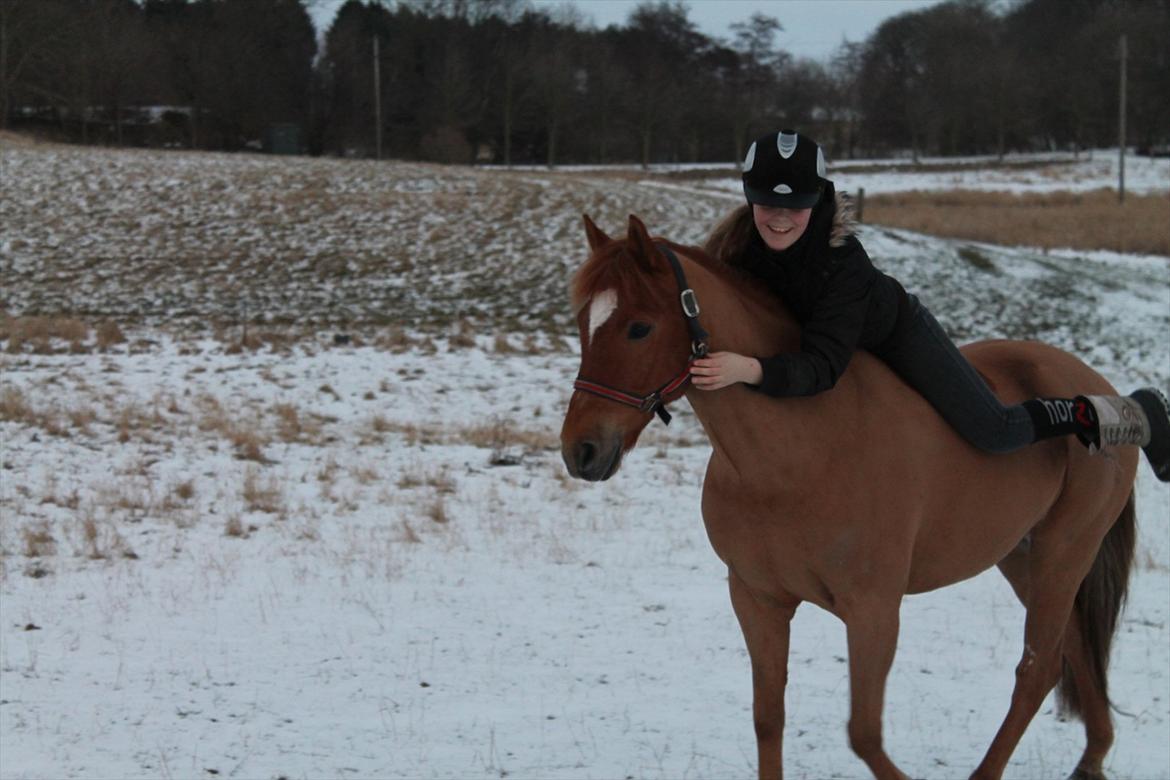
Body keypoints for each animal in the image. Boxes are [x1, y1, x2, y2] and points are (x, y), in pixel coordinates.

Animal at [559, 214, 1138, 780]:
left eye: (639, 327)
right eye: (584, 324)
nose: (580, 451)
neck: (796, 455)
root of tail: (1102, 388)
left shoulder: (873, 610)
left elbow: (864, 734)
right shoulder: (757, 599)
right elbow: (768, 718)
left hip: (1063, 552)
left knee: (1038, 669)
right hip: (1023, 557)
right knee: (1074, 648)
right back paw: (1092, 758)